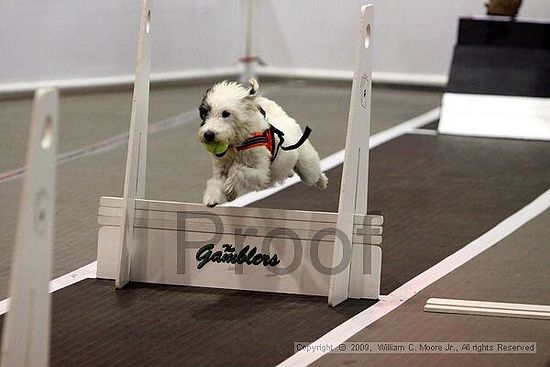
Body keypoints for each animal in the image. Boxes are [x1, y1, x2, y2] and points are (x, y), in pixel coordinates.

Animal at [198, 80, 328, 207]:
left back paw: (322, 181)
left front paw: (230, 189)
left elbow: (237, 170)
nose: (208, 135)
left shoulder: (261, 173)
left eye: (226, 113)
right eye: (205, 113)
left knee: (313, 174)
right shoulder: (221, 167)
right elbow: (215, 181)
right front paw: (211, 197)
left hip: (307, 167)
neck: (239, 143)